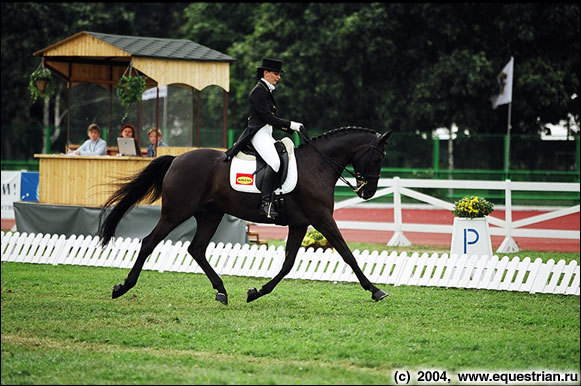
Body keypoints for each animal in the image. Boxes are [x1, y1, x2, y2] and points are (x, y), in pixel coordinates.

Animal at [98, 126, 390, 304]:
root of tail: (177, 160)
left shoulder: (299, 224)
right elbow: (347, 254)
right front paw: (376, 290)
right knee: (149, 242)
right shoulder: (321, 219)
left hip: (210, 214)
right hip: (176, 212)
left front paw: (256, 292)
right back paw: (122, 287)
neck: (317, 165)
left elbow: (288, 264)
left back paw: (221, 291)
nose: (368, 192)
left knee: (196, 249)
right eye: (378, 158)